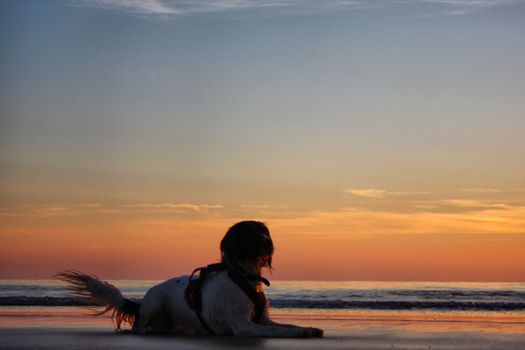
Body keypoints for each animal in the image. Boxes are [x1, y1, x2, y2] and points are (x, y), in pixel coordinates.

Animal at [55, 220, 322, 338]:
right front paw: (302, 333)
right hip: (156, 301)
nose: (268, 242)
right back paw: (150, 328)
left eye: (265, 232)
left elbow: (286, 326)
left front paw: (309, 328)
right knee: (138, 326)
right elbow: (280, 331)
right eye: (249, 234)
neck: (244, 276)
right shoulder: (242, 326)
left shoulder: (262, 319)